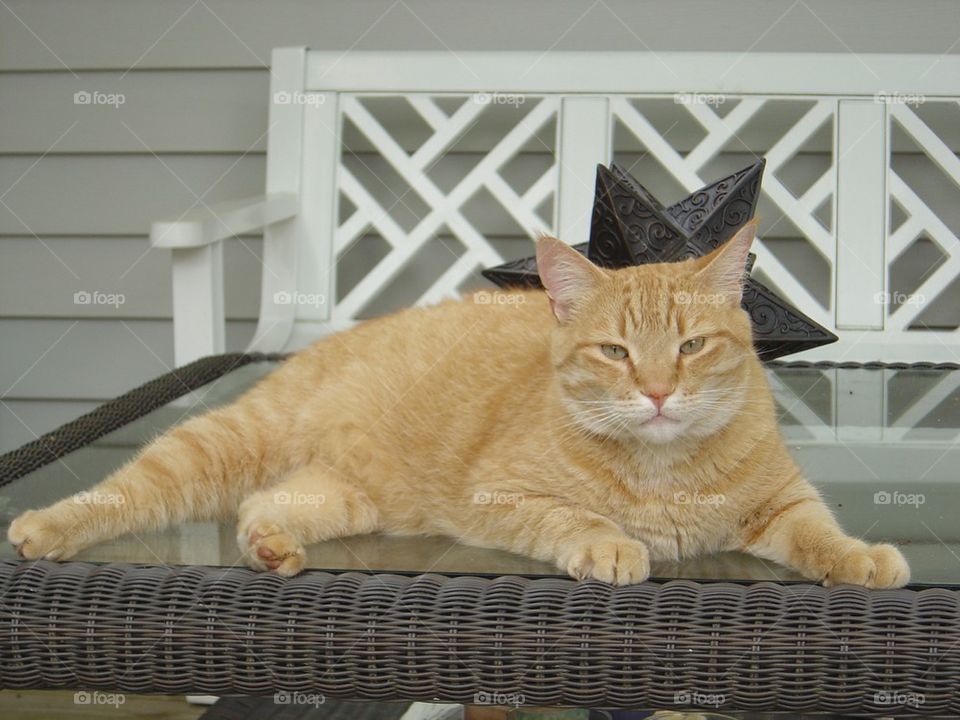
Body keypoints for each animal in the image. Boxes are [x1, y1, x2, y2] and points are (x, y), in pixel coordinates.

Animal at [5, 222, 908, 588]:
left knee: (263, 506)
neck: (662, 469)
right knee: (119, 494)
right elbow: (573, 518)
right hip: (219, 446)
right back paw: (41, 527)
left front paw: (861, 558)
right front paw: (609, 544)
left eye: (690, 347)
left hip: (346, 498)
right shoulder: (497, 498)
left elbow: (820, 532)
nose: (656, 393)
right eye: (616, 353)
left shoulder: (780, 503)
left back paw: (269, 546)